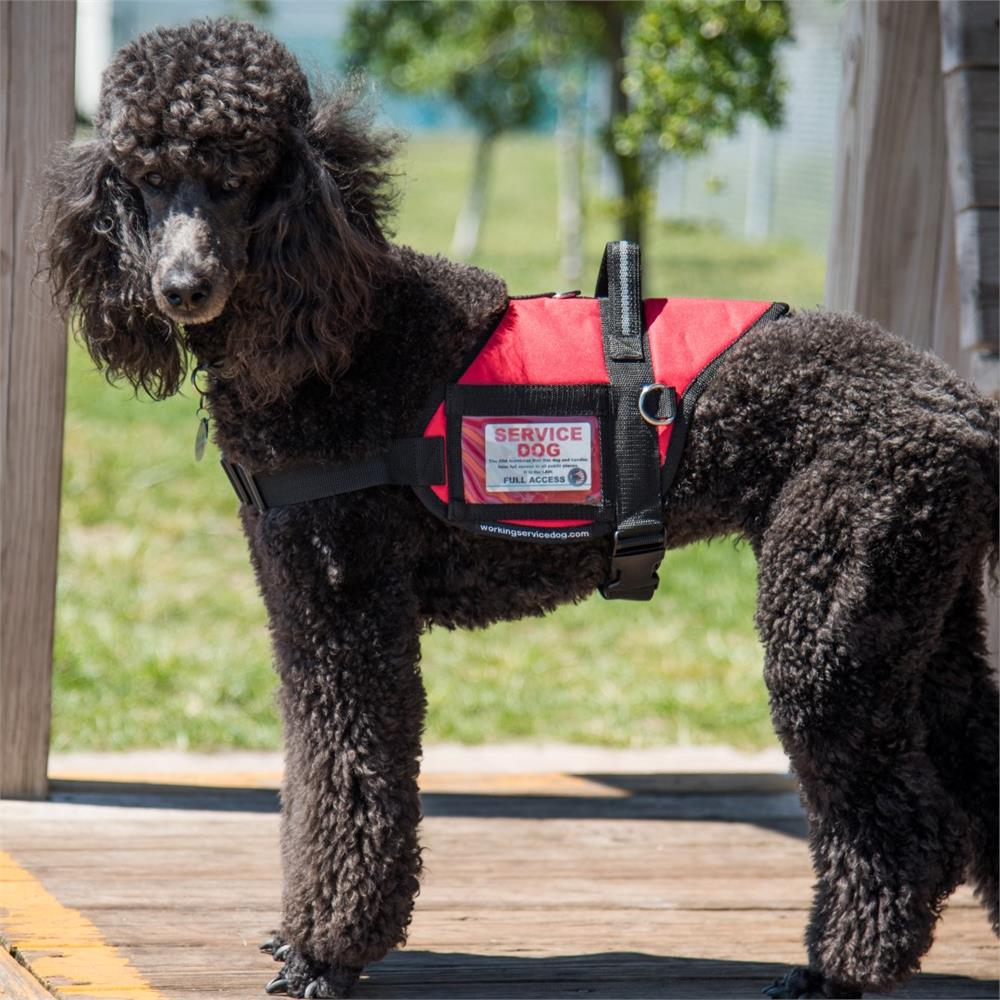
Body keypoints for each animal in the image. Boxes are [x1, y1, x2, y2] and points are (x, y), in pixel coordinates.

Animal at [43, 15, 996, 1000]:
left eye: (238, 176)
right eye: (147, 177)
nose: (181, 287)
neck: (337, 337)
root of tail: (961, 408)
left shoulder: (349, 614)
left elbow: (350, 780)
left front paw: (323, 952)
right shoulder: (301, 607)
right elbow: (314, 780)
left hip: (833, 620)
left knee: (903, 827)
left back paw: (838, 970)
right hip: (920, 614)